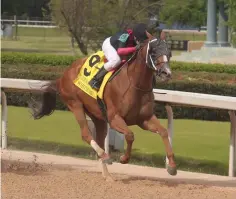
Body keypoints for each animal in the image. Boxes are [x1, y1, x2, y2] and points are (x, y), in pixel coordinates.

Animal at [29, 31, 177, 180]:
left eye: (169, 52)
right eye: (153, 51)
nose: (167, 73)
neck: (135, 84)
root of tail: (62, 76)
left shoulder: (144, 119)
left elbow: (164, 132)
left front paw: (171, 166)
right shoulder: (114, 118)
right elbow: (130, 135)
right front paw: (124, 158)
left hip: (97, 116)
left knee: (99, 138)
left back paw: (107, 174)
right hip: (75, 104)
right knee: (86, 134)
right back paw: (105, 156)